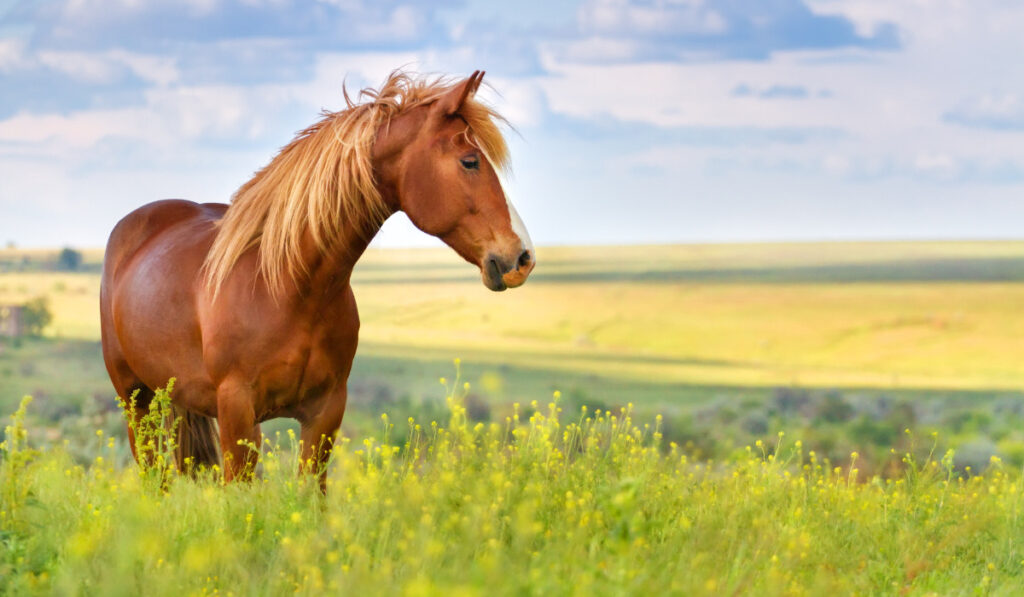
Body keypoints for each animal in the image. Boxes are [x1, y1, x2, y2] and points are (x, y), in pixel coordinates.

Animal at [97, 71, 536, 491]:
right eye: (469, 161)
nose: (522, 257)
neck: (289, 288)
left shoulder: (325, 413)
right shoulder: (237, 413)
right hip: (136, 402)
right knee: (155, 479)